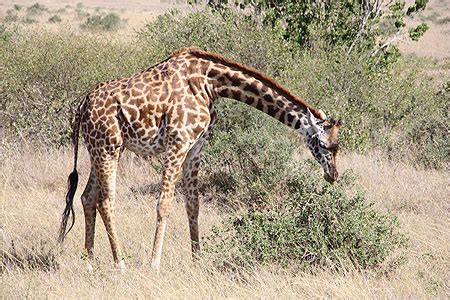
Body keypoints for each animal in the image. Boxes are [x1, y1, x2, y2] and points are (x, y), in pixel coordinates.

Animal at [58, 47, 342, 272]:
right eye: (324, 145)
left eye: (338, 146)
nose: (333, 176)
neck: (210, 84)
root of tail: (82, 105)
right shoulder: (178, 143)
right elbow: (164, 204)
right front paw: (154, 264)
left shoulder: (196, 148)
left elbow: (193, 205)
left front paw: (198, 259)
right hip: (109, 148)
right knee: (105, 201)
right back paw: (120, 263)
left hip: (99, 148)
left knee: (86, 197)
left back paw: (89, 262)